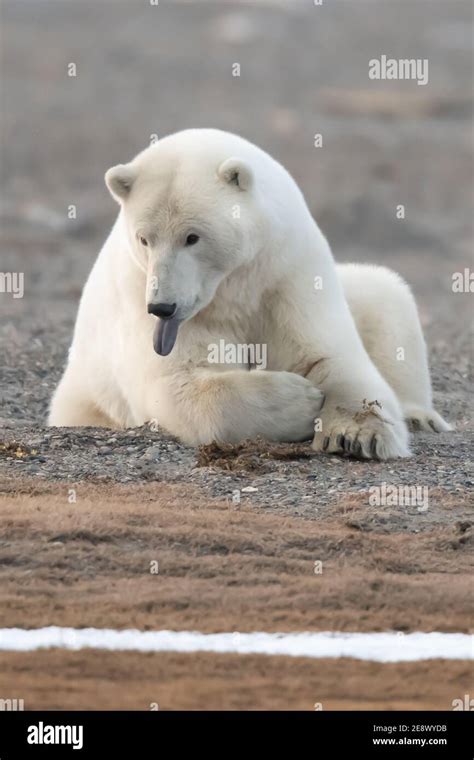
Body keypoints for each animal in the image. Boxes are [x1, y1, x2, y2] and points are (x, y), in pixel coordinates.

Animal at [49, 127, 452, 458]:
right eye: (144, 238)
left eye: (192, 236)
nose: (162, 307)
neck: (234, 286)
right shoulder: (148, 300)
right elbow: (179, 383)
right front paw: (303, 399)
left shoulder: (288, 274)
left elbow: (331, 356)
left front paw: (356, 435)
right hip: (84, 396)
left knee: (385, 295)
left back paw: (420, 416)